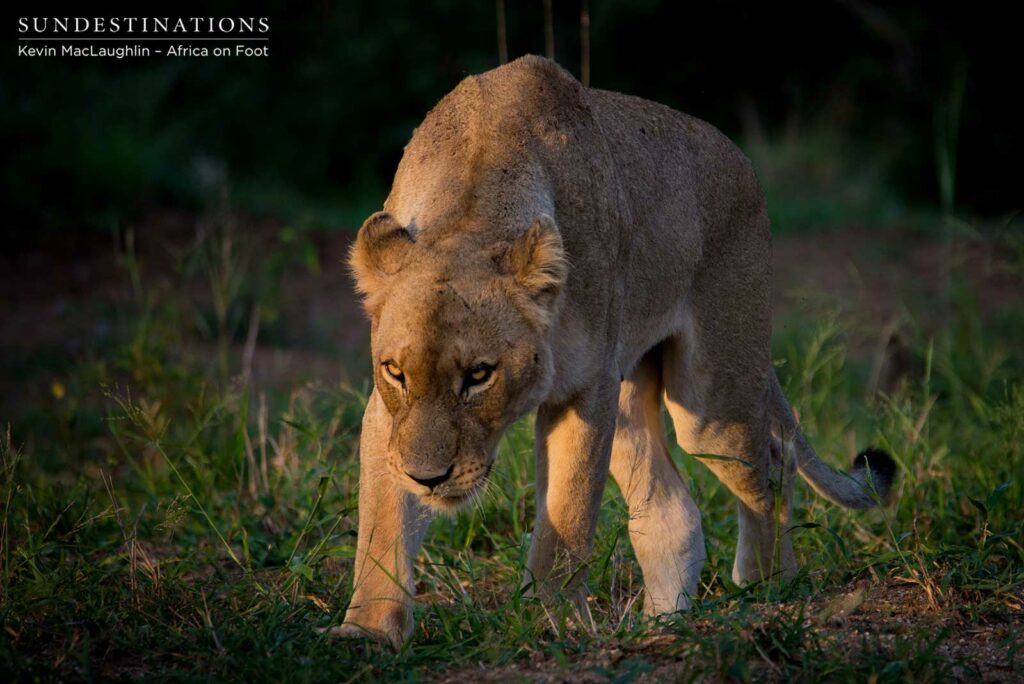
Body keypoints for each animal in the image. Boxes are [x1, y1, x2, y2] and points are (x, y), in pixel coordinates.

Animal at [335, 55, 895, 647]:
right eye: (396, 372)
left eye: (480, 375)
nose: (428, 479)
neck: (472, 206)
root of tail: (739, 156)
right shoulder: (387, 417)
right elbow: (381, 525)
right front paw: (365, 632)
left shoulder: (585, 390)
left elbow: (567, 517)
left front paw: (550, 623)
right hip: (628, 399)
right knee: (672, 511)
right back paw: (665, 625)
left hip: (712, 401)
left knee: (769, 460)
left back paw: (766, 588)